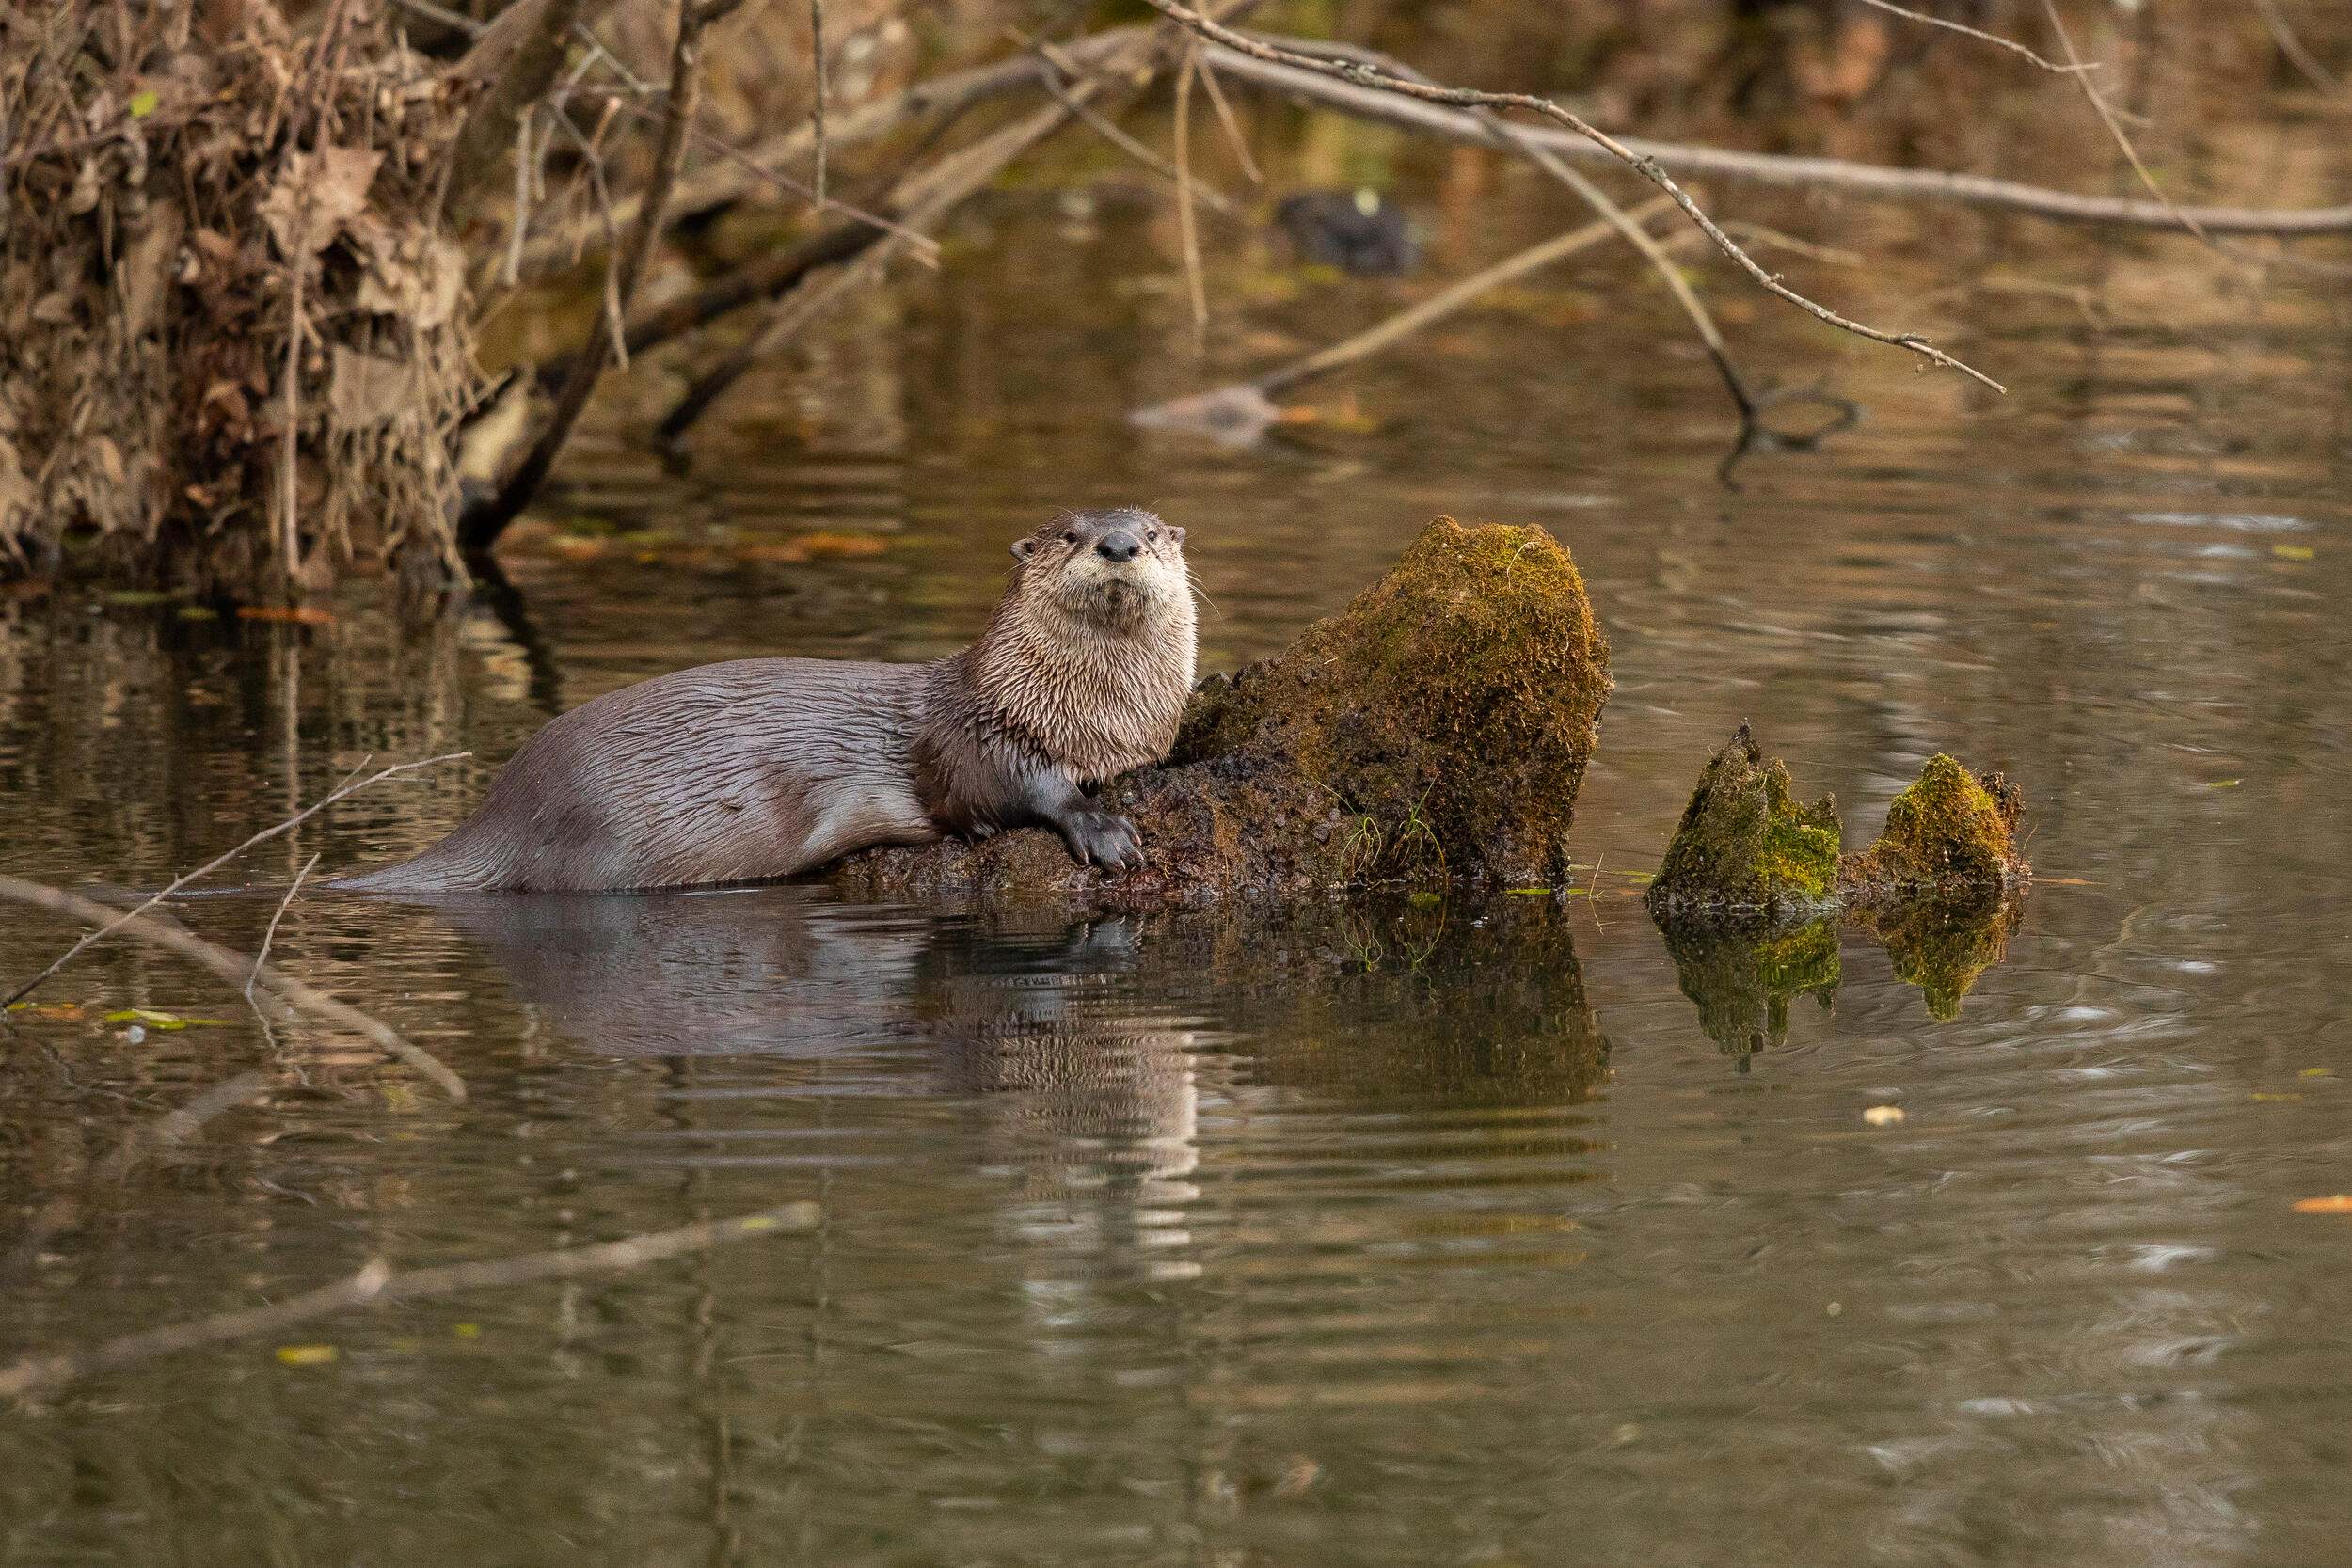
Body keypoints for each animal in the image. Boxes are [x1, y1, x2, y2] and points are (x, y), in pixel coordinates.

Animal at [334, 508, 1195, 893]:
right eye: (1069, 534)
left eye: (1154, 532)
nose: (1119, 542)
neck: (1095, 720)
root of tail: (501, 814)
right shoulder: (975, 730)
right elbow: (1012, 787)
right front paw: (1101, 827)